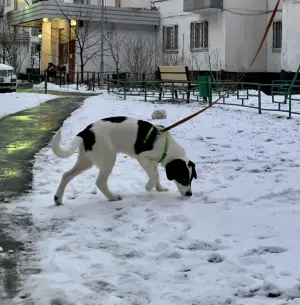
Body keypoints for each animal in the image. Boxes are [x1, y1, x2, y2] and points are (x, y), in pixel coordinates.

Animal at [51, 116, 197, 204]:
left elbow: (156, 174)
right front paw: (148, 187)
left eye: (191, 179)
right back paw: (112, 198)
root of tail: (86, 131)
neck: (166, 144)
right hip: (108, 158)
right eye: (183, 178)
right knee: (100, 182)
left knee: (66, 175)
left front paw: (159, 188)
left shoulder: (153, 162)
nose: (189, 194)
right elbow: (155, 175)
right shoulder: (142, 157)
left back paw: (58, 198)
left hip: (86, 160)